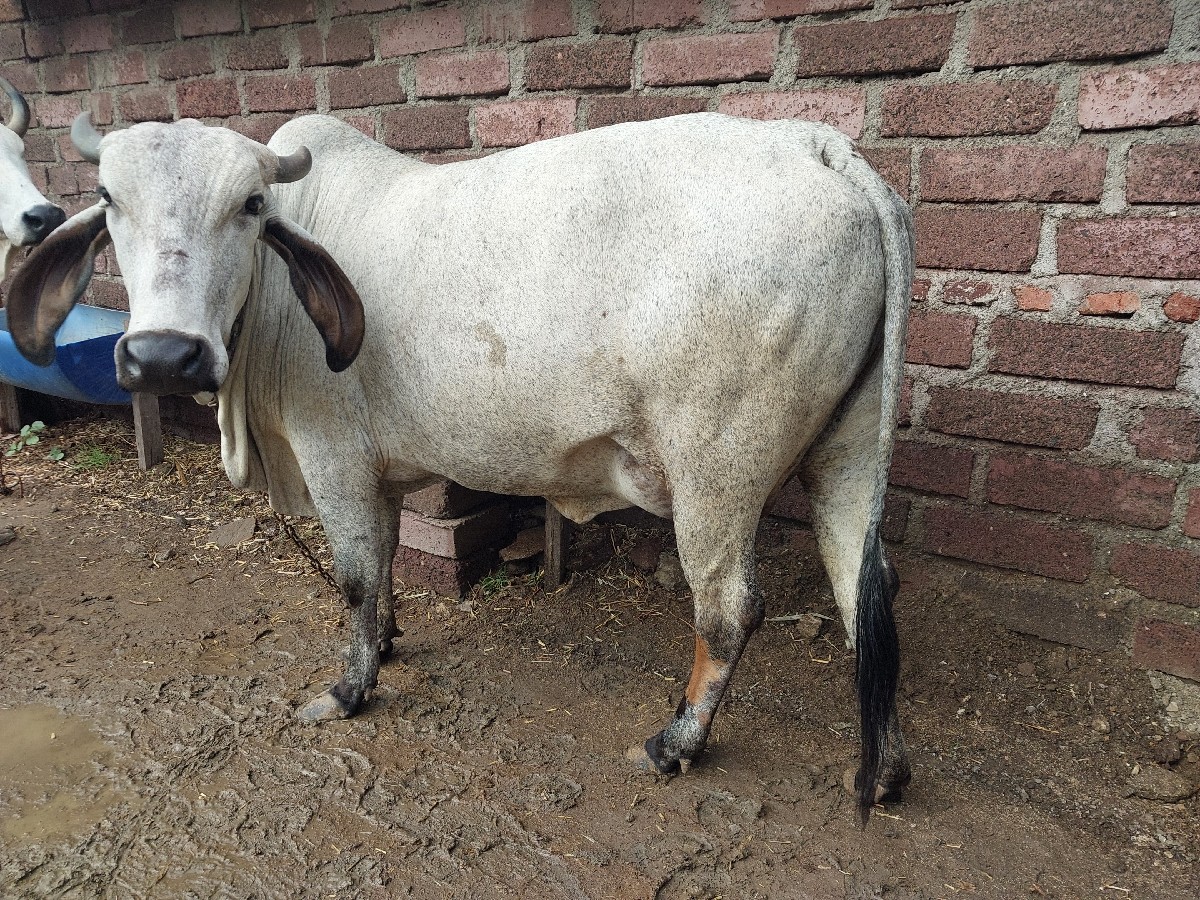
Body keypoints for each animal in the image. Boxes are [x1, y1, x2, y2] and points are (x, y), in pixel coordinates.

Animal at [7, 111, 914, 824]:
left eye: (250, 206)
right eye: (110, 200)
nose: (162, 354)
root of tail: (815, 143)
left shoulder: (333, 457)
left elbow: (354, 577)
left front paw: (350, 689)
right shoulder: (376, 473)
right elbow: (382, 566)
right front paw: (387, 643)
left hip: (716, 472)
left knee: (730, 612)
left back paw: (676, 741)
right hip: (845, 454)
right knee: (866, 591)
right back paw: (886, 768)